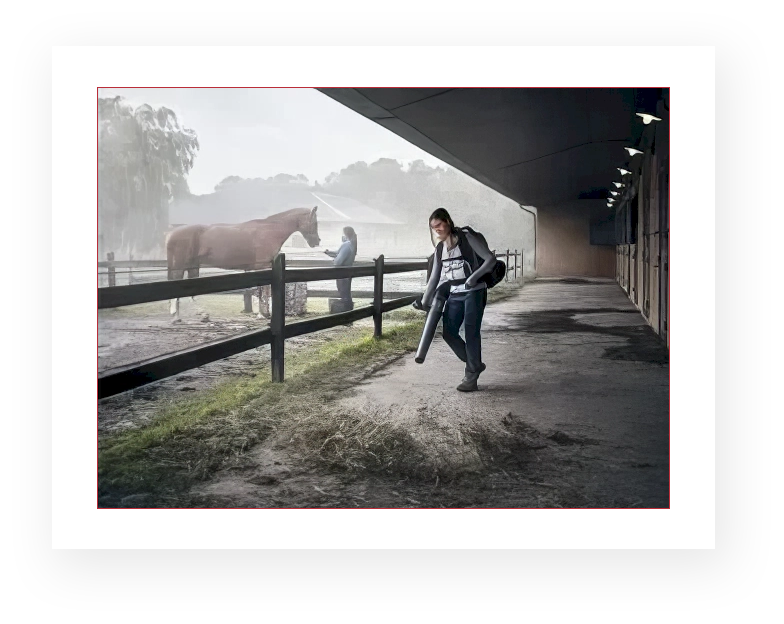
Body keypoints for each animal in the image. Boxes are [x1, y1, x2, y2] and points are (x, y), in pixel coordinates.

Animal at [167, 208, 320, 322]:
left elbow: (261, 291)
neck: (270, 231)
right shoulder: (264, 267)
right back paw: (177, 315)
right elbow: (264, 291)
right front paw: (263, 314)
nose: (317, 241)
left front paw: (263, 313)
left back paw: (195, 315)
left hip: (192, 265)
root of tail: (172, 234)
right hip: (181, 264)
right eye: (315, 222)